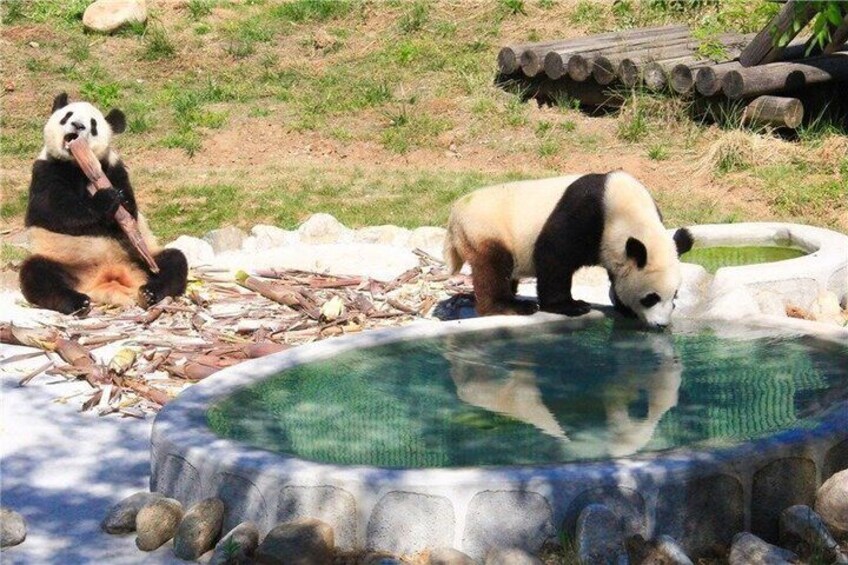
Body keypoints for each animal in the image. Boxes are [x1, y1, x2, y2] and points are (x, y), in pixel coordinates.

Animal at [19, 92, 188, 316]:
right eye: (67, 116)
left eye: (93, 124)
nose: (77, 125)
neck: (78, 164)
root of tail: (108, 279)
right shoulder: (45, 170)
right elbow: (51, 209)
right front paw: (106, 199)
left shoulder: (113, 167)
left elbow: (131, 213)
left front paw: (121, 200)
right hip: (63, 261)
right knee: (37, 274)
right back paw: (78, 302)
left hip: (143, 259)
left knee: (174, 260)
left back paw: (149, 293)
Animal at [443, 171, 693, 328]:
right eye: (650, 298)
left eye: (674, 296)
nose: (661, 324)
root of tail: (454, 215)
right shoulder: (584, 215)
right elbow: (553, 257)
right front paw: (572, 306)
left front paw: (623, 306)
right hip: (485, 228)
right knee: (493, 266)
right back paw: (510, 306)